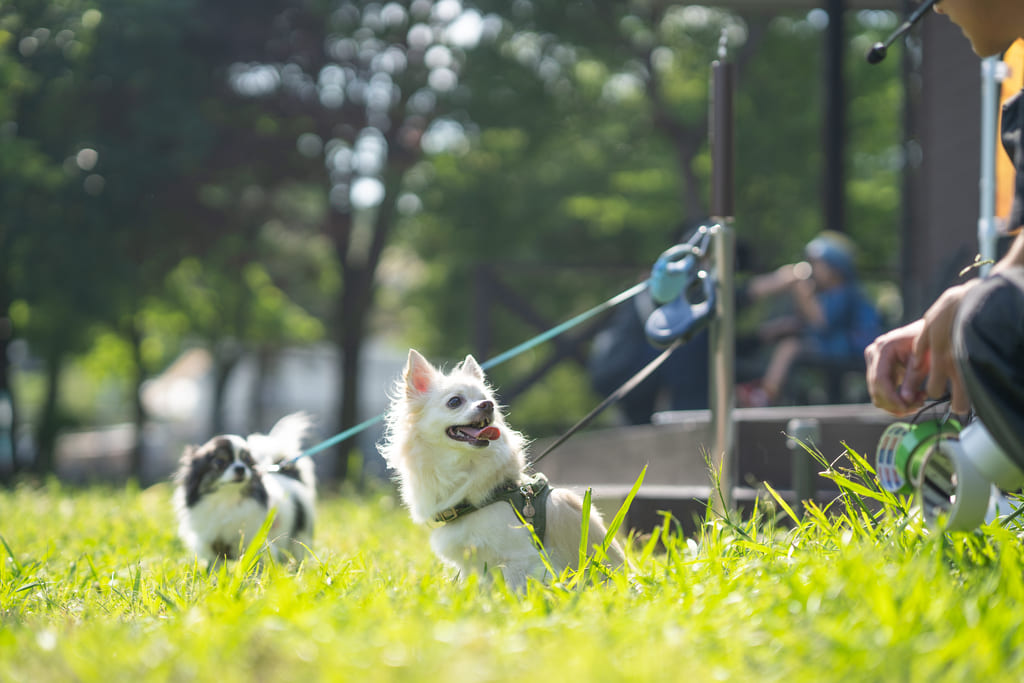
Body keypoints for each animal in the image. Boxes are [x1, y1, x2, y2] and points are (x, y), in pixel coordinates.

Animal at [378, 350, 622, 589]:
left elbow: (514, 591)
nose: (488, 405)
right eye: (454, 401)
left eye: (487, 399)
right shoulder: (473, 567)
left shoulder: (520, 559)